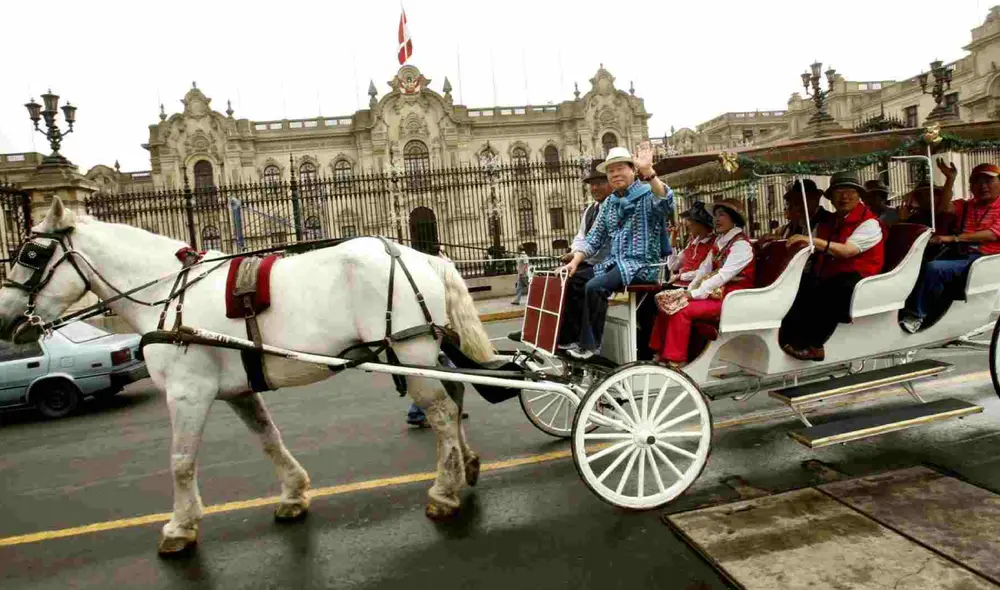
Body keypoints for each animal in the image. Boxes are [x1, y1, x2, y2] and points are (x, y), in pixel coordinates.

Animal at [0, 197, 495, 555]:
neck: (168, 293)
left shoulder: (188, 392)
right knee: (454, 397)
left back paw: (444, 491)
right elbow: (268, 438)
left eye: (30, 253)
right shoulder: (236, 389)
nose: (5, 319)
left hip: (408, 349)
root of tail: (420, 255)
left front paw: (180, 525)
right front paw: (293, 493)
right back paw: (466, 465)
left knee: (441, 411)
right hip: (420, 352)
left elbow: (181, 460)